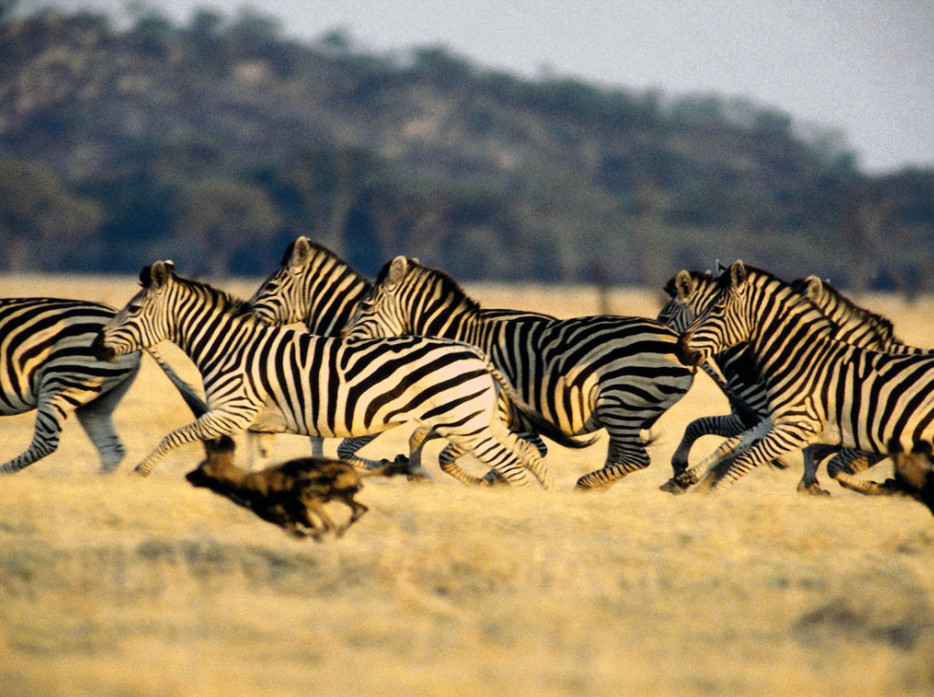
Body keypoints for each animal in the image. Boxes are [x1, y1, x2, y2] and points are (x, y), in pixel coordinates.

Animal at [93, 258, 576, 486]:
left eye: (132, 310)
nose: (98, 345)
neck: (229, 348)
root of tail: (474, 351)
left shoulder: (233, 410)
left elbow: (174, 436)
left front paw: (139, 473)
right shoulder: (260, 424)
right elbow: (258, 461)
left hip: (464, 422)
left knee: (512, 464)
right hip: (478, 418)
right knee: (527, 453)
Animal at [344, 256, 696, 490]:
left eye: (365, 306)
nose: (342, 339)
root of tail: (674, 339)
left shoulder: (484, 411)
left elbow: (446, 455)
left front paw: (484, 482)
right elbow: (420, 437)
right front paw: (416, 470)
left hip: (620, 402)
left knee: (636, 458)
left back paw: (584, 485)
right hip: (626, 410)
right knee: (622, 457)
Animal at [676, 260, 934, 494]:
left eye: (716, 310)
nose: (681, 347)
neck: (801, 358)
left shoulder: (801, 427)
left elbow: (748, 459)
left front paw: (714, 495)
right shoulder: (780, 421)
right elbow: (730, 445)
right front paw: (687, 478)